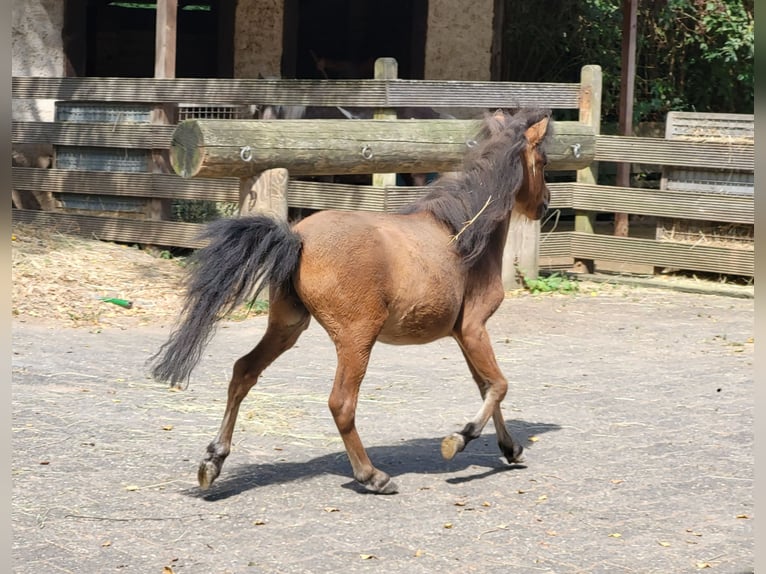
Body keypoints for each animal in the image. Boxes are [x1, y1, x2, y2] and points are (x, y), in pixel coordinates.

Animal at [152, 109, 552, 496]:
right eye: (544, 161)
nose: (545, 205)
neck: (464, 231)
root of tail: (296, 237)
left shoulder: (461, 334)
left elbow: (486, 386)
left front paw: (511, 448)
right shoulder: (473, 328)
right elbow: (498, 385)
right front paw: (459, 439)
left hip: (288, 326)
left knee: (243, 372)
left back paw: (212, 461)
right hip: (356, 337)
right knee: (341, 403)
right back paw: (372, 476)